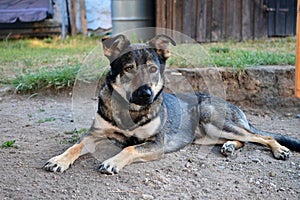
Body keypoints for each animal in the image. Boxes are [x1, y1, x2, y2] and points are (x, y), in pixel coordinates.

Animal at [42, 34, 300, 173]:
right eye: (128, 69)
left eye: (153, 69)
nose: (145, 93)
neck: (131, 111)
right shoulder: (94, 134)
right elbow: (75, 146)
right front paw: (59, 160)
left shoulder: (156, 143)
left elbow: (129, 148)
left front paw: (112, 162)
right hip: (208, 135)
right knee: (243, 140)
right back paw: (228, 147)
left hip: (215, 120)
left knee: (261, 137)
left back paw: (279, 149)